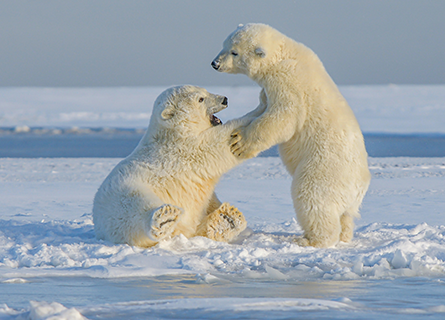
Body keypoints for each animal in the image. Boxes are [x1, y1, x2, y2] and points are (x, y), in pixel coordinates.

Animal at [92, 85, 248, 248]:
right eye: (201, 99)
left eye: (206, 91)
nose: (224, 99)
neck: (173, 132)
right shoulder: (184, 150)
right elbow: (214, 145)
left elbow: (208, 199)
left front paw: (227, 217)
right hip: (123, 193)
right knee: (135, 207)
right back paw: (165, 219)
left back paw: (228, 218)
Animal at [210, 23, 370, 248]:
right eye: (224, 45)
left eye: (234, 52)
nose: (215, 63)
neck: (286, 54)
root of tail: (360, 187)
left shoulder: (288, 81)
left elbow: (283, 116)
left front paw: (240, 143)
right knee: (346, 215)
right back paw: (344, 236)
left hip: (324, 169)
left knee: (312, 197)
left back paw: (310, 240)